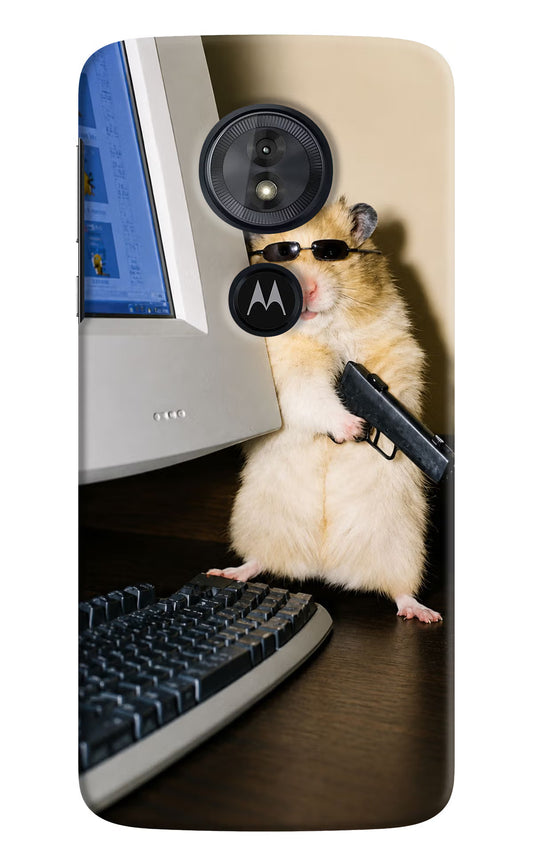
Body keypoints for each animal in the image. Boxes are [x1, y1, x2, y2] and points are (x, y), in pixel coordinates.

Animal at [208, 198, 442, 623]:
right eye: (278, 257)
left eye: (330, 253)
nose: (304, 289)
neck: (324, 331)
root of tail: (324, 567)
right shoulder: (289, 378)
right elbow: (314, 398)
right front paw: (353, 428)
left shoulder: (397, 350)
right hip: (257, 522)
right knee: (258, 561)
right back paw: (228, 572)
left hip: (403, 545)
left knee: (399, 590)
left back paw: (424, 613)